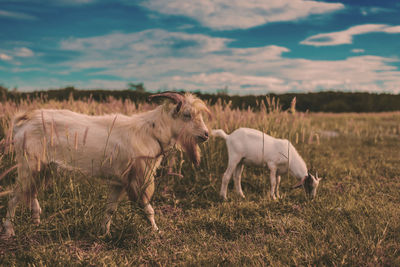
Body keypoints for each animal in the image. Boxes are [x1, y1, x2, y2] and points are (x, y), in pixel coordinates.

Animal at [3, 92, 211, 239]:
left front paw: (105, 233)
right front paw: (157, 231)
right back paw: (9, 231)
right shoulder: (138, 179)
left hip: (41, 168)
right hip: (28, 165)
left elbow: (110, 208)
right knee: (14, 196)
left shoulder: (119, 181)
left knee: (29, 193)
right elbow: (147, 208)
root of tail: (22, 123)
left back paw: (37, 221)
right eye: (187, 114)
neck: (150, 131)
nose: (206, 134)